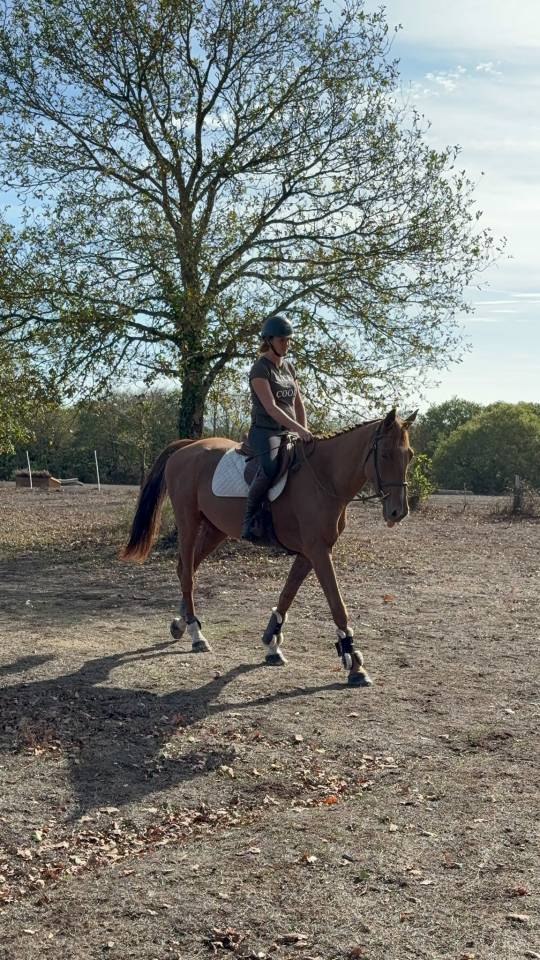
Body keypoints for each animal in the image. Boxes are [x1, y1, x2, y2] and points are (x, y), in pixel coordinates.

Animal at [120, 408, 416, 687]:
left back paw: (181, 624)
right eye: (385, 454)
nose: (398, 512)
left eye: (410, 455)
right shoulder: (319, 551)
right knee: (187, 573)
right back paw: (196, 633)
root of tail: (188, 447)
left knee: (186, 568)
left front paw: (272, 643)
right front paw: (354, 664)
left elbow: (287, 594)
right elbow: (336, 604)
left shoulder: (310, 553)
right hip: (188, 522)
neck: (324, 476)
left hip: (216, 529)